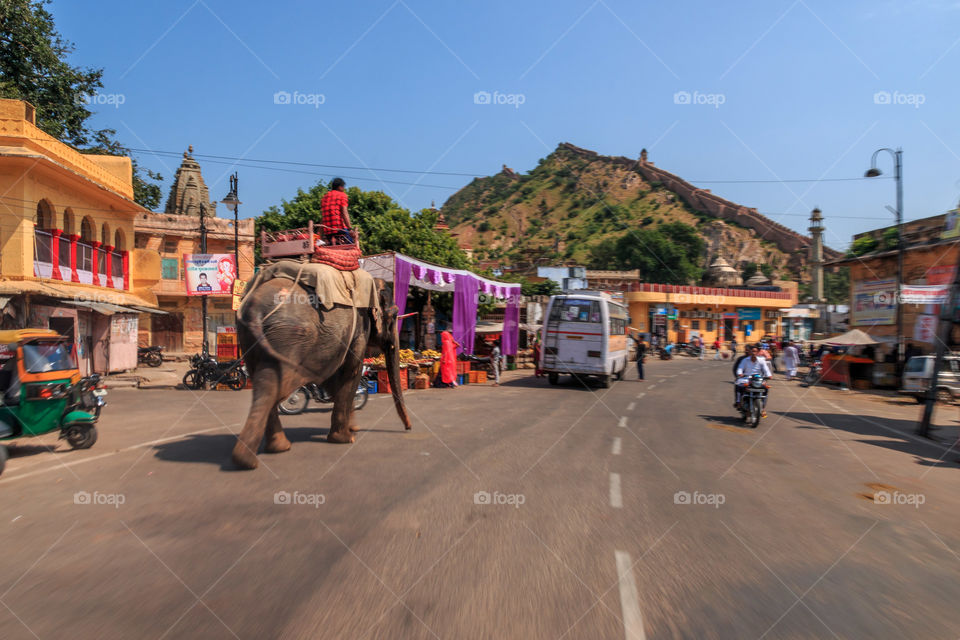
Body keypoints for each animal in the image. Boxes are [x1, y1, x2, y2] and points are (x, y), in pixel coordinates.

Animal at [234, 270, 410, 470]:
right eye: (394, 315)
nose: (408, 428)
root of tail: (254, 309)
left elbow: (334, 381)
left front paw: (352, 428)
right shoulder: (359, 331)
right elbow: (350, 373)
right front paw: (346, 438)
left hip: (249, 339)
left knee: (263, 385)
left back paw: (274, 449)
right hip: (287, 338)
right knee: (271, 386)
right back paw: (248, 459)